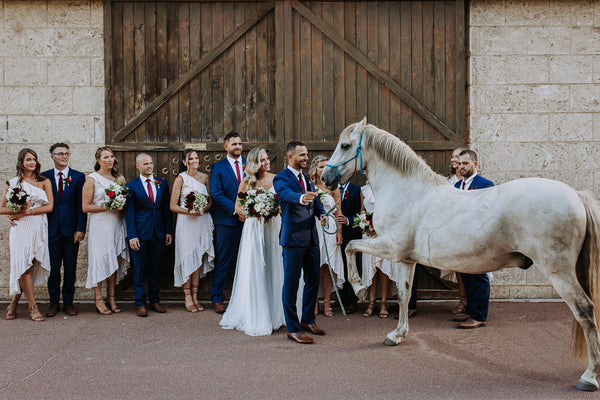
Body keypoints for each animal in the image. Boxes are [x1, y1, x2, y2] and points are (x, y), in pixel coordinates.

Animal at [322, 118, 600, 390]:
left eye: (345, 145)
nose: (325, 177)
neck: (408, 192)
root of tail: (576, 195)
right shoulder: (406, 259)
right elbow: (403, 295)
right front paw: (397, 335)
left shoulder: (390, 247)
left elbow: (351, 246)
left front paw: (359, 287)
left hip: (559, 272)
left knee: (584, 309)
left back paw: (589, 377)